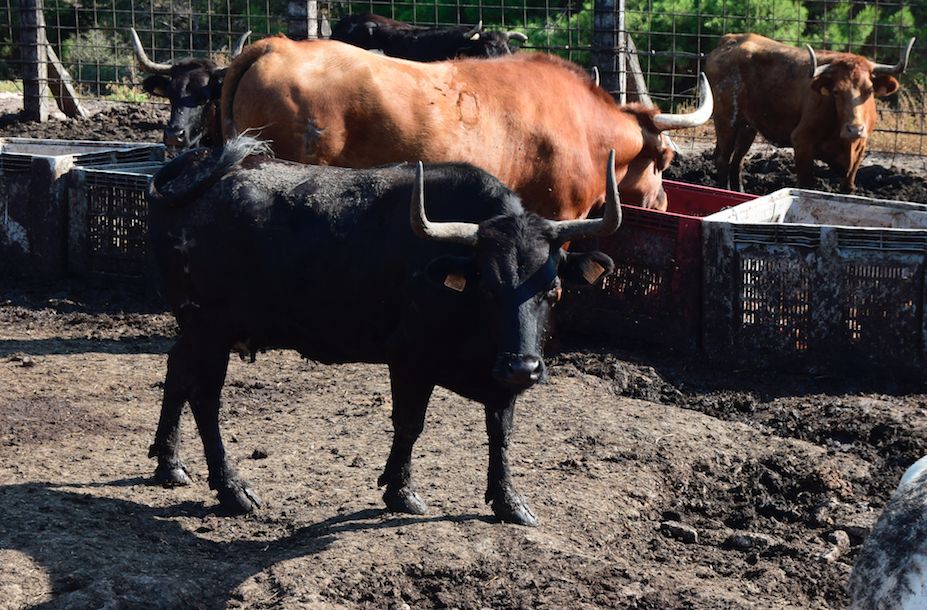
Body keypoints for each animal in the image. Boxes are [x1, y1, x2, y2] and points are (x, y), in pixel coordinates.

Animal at [147, 137, 624, 524]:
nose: (523, 366)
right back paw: (232, 489)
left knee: (176, 372)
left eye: (553, 290)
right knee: (205, 399)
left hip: (194, 329)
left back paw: (169, 465)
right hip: (211, 331)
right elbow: (410, 424)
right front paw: (401, 492)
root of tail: (199, 167)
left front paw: (509, 502)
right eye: (488, 287)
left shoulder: (499, 379)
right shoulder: (411, 361)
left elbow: (501, 433)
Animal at [712, 32, 912, 192]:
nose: (854, 130)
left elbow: (847, 187)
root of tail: (731, 39)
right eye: (836, 91)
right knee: (723, 160)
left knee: (737, 161)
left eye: (869, 90)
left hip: (747, 126)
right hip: (726, 119)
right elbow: (806, 185)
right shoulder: (801, 141)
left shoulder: (859, 151)